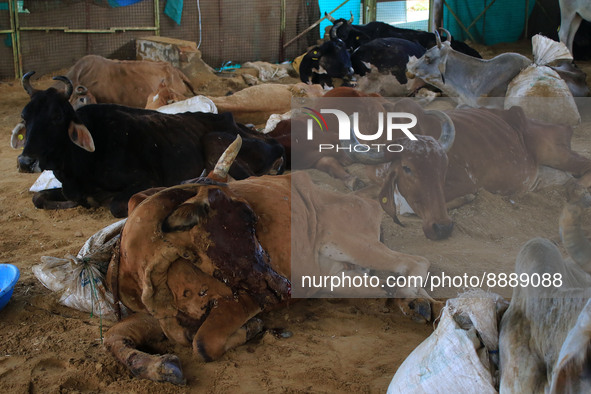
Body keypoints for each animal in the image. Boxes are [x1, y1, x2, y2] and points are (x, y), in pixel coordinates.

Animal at [11, 72, 284, 217]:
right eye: (25, 116)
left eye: (57, 117)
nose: (25, 161)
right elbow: (38, 199)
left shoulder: (144, 180)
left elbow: (115, 205)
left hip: (214, 141)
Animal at [103, 136, 434, 384]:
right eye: (247, 219)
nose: (280, 284)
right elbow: (112, 336)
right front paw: (160, 367)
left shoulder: (244, 300)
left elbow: (203, 343)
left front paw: (253, 328)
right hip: (335, 278)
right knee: (385, 281)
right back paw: (415, 303)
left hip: (348, 242)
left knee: (415, 263)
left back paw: (416, 302)